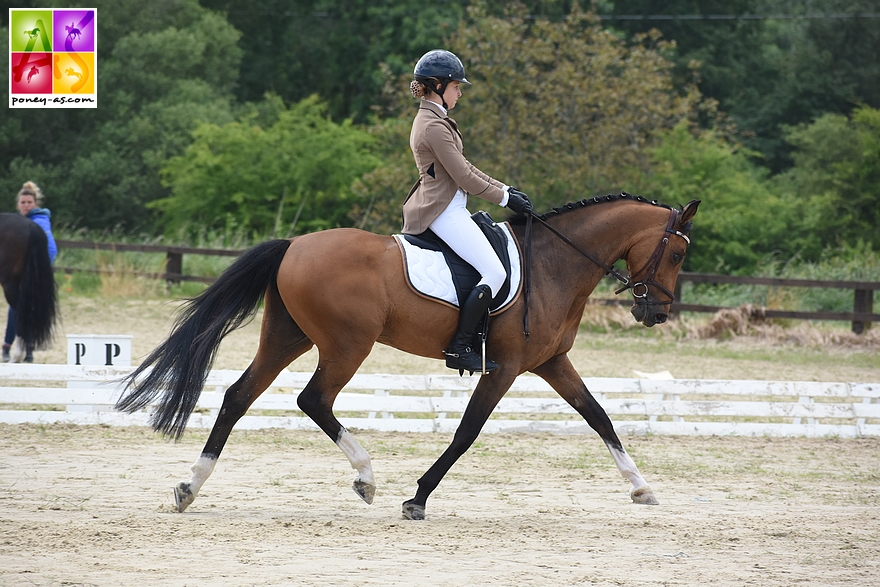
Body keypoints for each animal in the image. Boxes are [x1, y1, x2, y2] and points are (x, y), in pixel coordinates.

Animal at [115, 196, 700, 520]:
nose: (657, 313)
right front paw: (417, 497)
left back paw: (190, 487)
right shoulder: (507, 368)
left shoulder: (551, 363)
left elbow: (599, 416)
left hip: (287, 338)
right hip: (347, 344)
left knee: (239, 396)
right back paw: (367, 477)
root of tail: (295, 244)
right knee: (314, 399)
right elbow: (467, 432)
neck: (554, 263)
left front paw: (642, 488)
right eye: (677, 253)